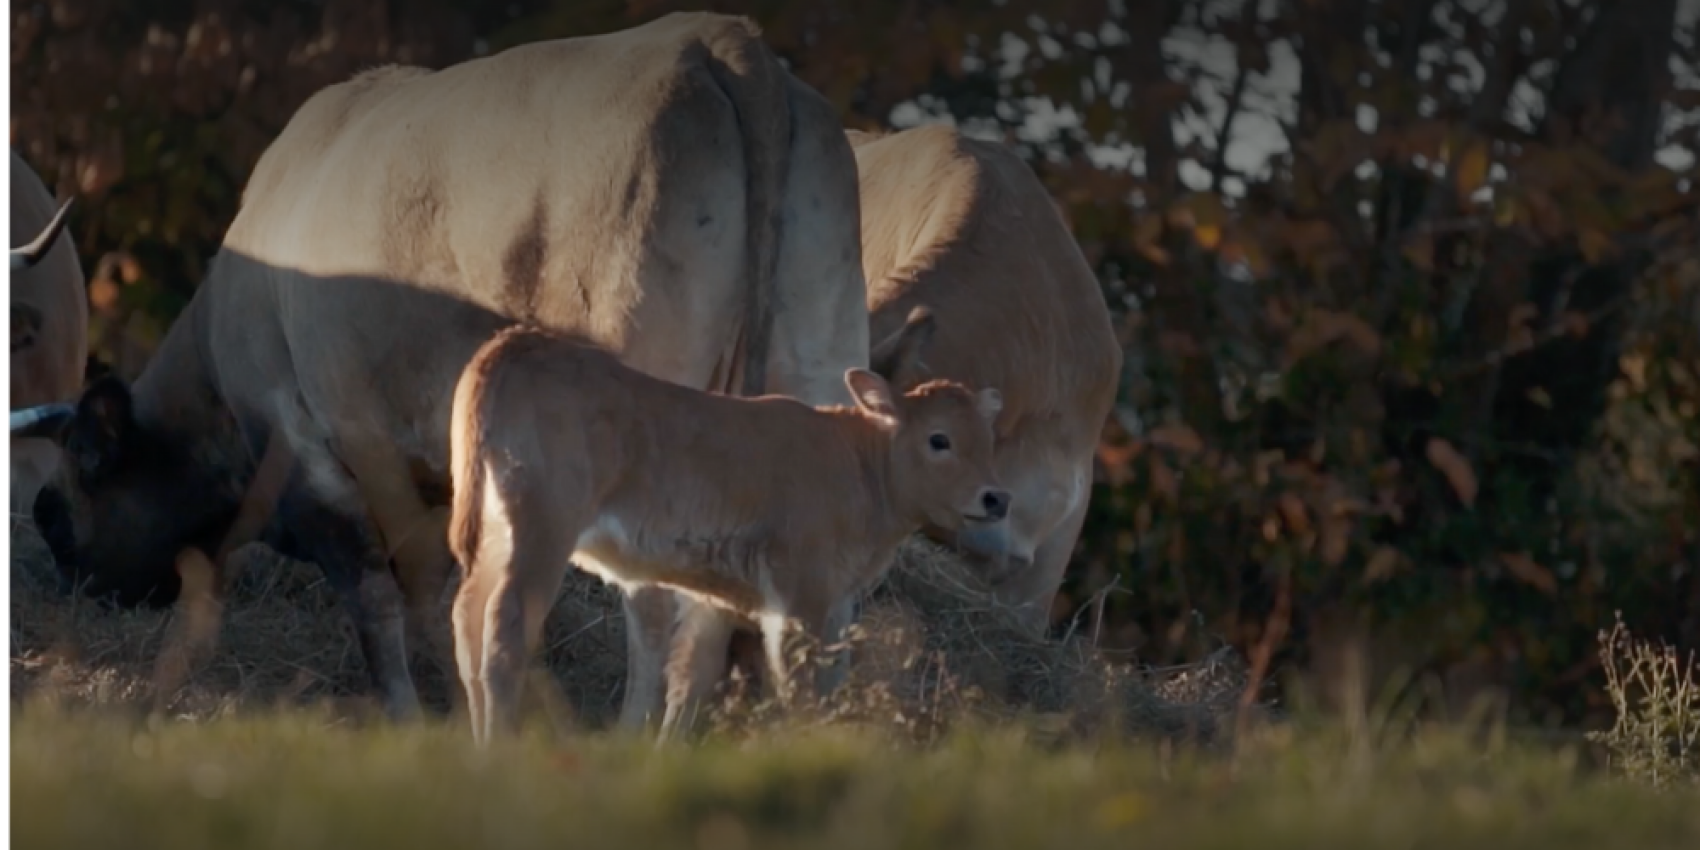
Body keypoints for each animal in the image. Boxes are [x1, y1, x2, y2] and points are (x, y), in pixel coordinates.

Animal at [24, 14, 870, 724]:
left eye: (54, 517)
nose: (76, 596)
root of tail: (717, 40)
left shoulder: (327, 446)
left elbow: (390, 591)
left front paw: (423, 717)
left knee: (656, 603)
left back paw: (632, 736)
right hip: (819, 369)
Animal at [448, 321, 1006, 741]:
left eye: (989, 439)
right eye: (939, 439)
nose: (995, 498)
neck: (859, 467)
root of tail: (519, 340)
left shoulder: (725, 597)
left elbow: (693, 678)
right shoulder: (799, 594)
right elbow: (798, 683)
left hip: (496, 532)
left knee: (468, 616)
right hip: (543, 528)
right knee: (506, 623)